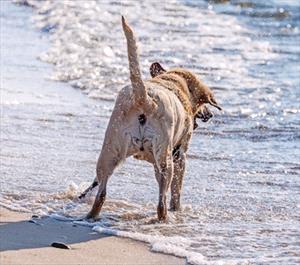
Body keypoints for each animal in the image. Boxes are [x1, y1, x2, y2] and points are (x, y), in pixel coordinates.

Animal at [81, 17, 221, 221]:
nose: (209, 115)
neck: (172, 82)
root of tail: (144, 98)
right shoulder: (180, 157)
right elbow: (176, 193)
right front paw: (177, 209)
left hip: (109, 150)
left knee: (101, 192)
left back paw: (90, 215)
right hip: (164, 161)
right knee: (162, 201)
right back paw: (164, 219)